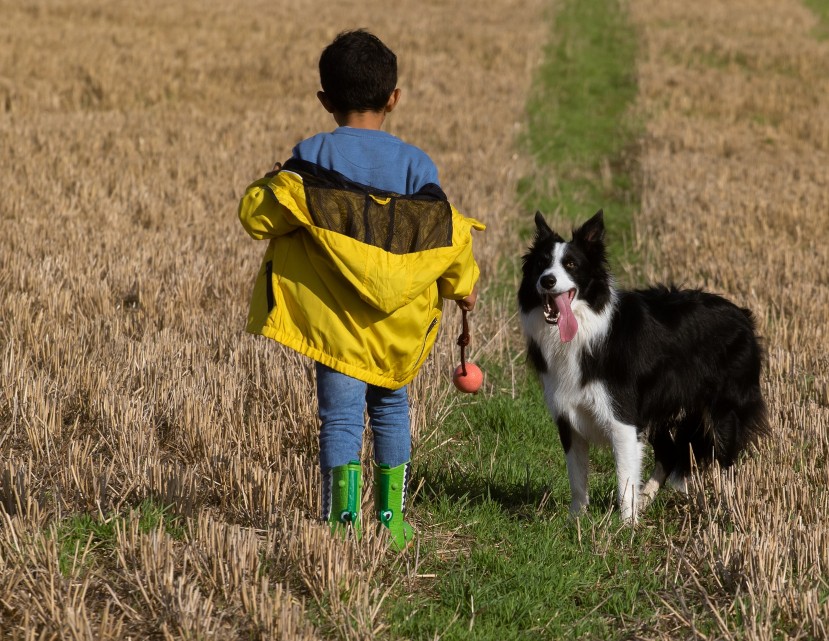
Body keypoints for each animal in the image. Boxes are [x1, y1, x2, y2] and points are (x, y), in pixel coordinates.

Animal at [520, 210, 768, 520]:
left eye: (571, 265)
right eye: (541, 264)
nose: (548, 281)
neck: (586, 328)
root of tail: (743, 316)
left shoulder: (623, 419)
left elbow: (624, 478)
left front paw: (626, 525)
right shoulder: (568, 416)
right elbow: (577, 479)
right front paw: (575, 521)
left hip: (724, 410)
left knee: (725, 460)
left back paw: (729, 509)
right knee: (670, 454)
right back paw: (648, 498)